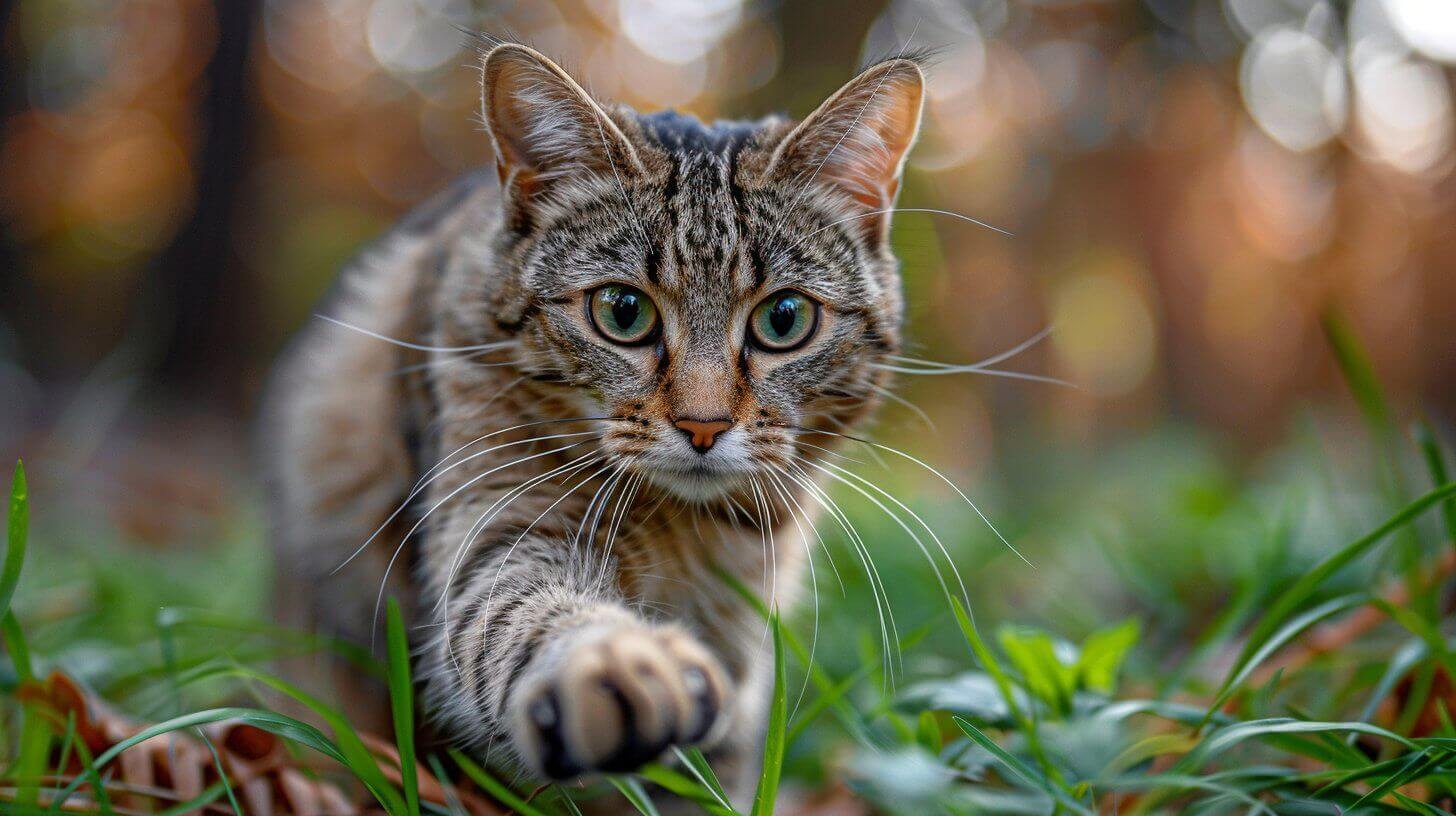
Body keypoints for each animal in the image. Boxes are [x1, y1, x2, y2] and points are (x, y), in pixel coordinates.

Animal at [260, 39, 920, 804]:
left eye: (784, 319)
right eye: (622, 312)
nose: (703, 425)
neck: (684, 532)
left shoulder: (745, 625)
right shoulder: (500, 520)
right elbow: (521, 610)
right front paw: (615, 663)